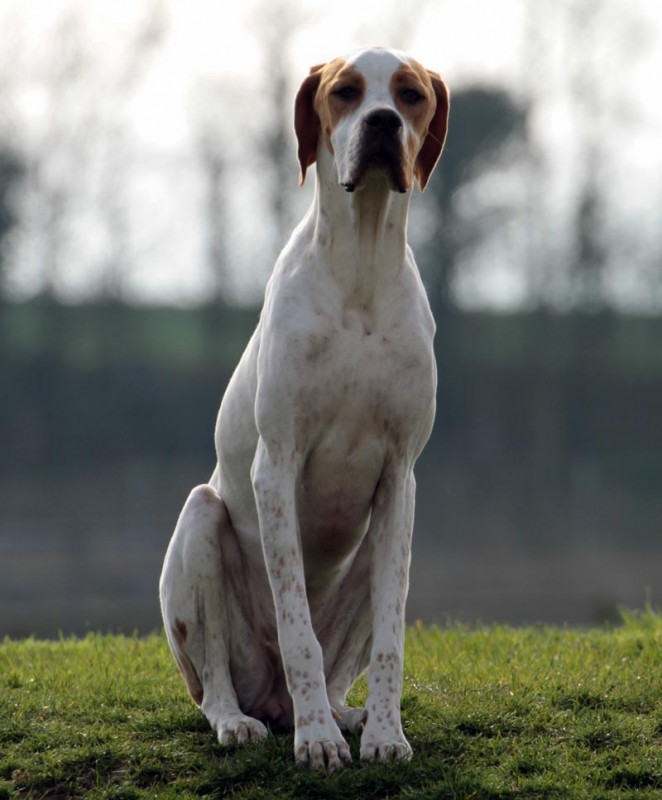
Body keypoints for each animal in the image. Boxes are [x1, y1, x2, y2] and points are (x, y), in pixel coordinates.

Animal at [161, 45, 452, 768]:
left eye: (410, 95)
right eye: (345, 91)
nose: (382, 122)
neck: (361, 274)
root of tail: (270, 700)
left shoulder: (401, 479)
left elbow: (391, 642)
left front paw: (384, 735)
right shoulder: (277, 466)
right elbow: (298, 628)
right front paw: (317, 740)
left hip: (379, 546)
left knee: (342, 663)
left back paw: (344, 714)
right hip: (201, 524)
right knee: (216, 681)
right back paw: (250, 721)